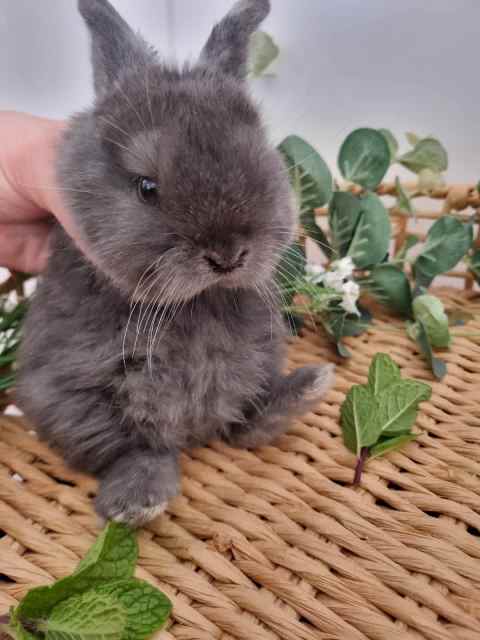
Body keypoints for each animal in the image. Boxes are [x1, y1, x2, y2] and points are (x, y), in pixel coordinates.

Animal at [16, 0, 335, 526]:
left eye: (260, 157)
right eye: (147, 187)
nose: (227, 255)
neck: (195, 305)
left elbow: (238, 422)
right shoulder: (65, 392)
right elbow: (131, 449)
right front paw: (135, 504)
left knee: (243, 422)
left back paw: (307, 388)